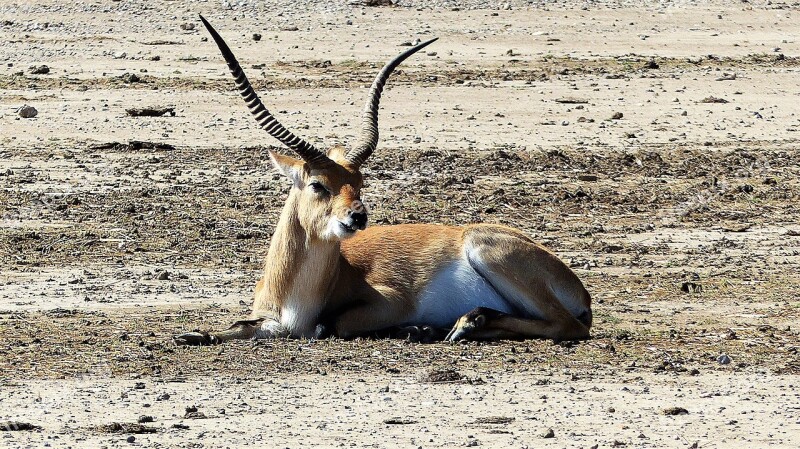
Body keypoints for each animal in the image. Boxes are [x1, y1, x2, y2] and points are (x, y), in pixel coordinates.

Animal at [175, 14, 592, 344]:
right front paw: (194, 334)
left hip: (487, 251)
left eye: (359, 184)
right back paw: (458, 326)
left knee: (567, 325)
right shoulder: (268, 320)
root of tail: (578, 289)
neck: (297, 296)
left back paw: (454, 326)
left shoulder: (390, 301)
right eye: (318, 184)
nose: (357, 217)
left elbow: (331, 325)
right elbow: (237, 326)